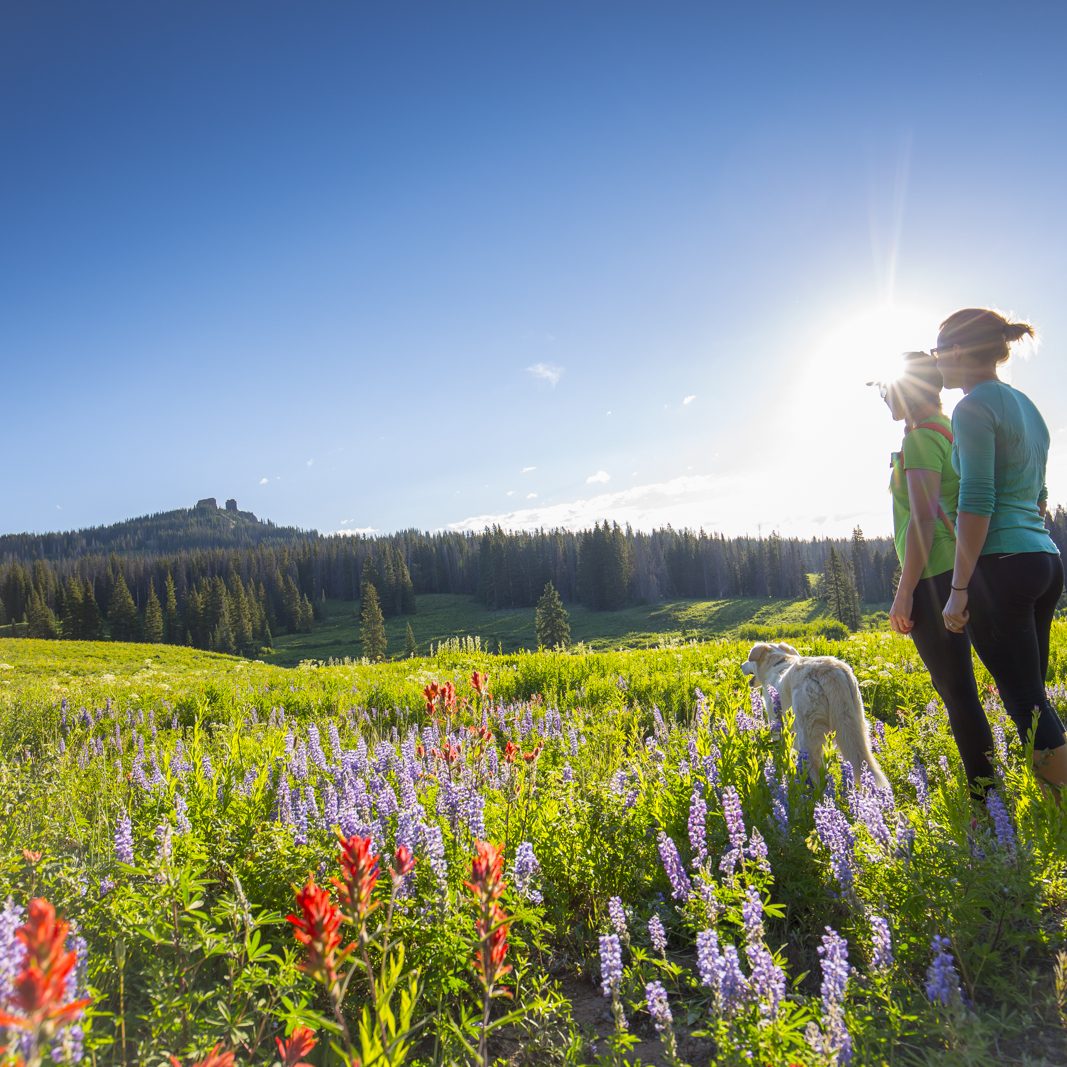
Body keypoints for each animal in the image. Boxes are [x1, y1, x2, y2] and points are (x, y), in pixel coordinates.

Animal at [738, 635, 887, 789]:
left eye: (749, 660)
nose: (741, 666)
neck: (775, 663)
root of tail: (830, 671)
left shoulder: (775, 721)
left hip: (808, 731)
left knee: (814, 768)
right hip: (856, 722)